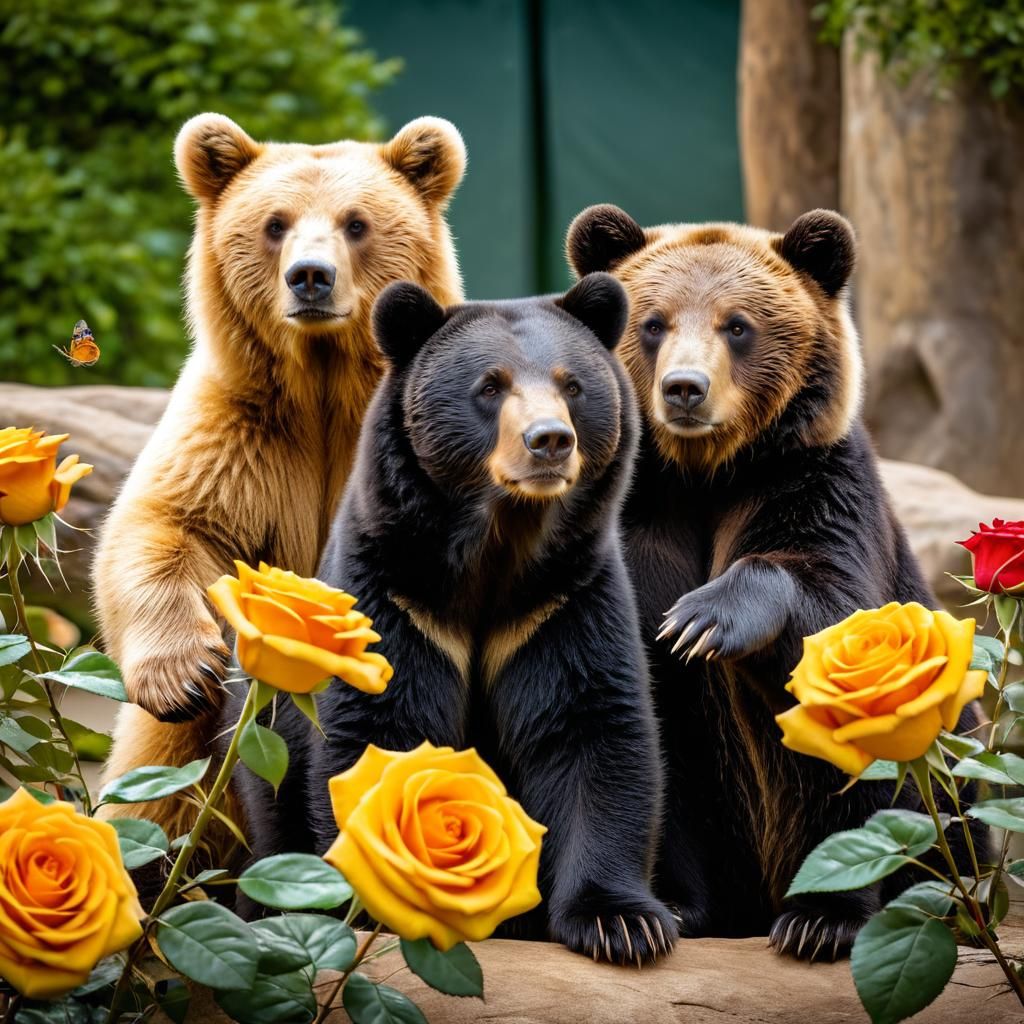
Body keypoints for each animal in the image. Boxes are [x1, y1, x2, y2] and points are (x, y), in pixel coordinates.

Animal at [94, 112, 467, 841]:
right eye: (274, 222)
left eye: (356, 222)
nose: (310, 277)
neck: (321, 389)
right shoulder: (238, 434)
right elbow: (164, 524)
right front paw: (181, 674)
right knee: (162, 793)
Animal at [236, 274, 679, 964]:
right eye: (490, 386)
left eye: (572, 385)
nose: (549, 440)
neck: (497, 546)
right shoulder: (398, 595)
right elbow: (381, 730)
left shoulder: (561, 598)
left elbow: (592, 728)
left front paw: (625, 923)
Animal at [564, 204, 985, 960]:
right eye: (654, 322)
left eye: (737, 325)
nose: (684, 388)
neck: (703, 474)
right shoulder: (637, 514)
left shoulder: (810, 479)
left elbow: (831, 601)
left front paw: (701, 619)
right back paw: (683, 906)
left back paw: (822, 918)